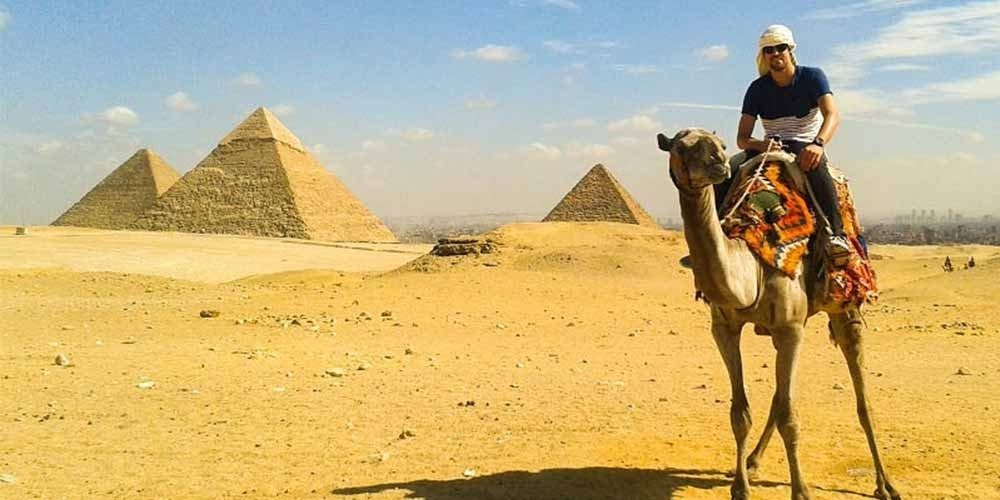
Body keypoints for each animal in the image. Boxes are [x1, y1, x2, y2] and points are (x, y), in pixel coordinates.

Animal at [658, 128, 902, 500]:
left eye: (721, 145)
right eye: (681, 147)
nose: (718, 165)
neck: (752, 263)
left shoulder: (790, 327)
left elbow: (790, 416)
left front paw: (800, 491)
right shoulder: (723, 328)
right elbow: (740, 413)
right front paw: (740, 488)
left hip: (844, 305)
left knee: (862, 399)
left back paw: (885, 483)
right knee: (777, 396)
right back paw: (753, 462)